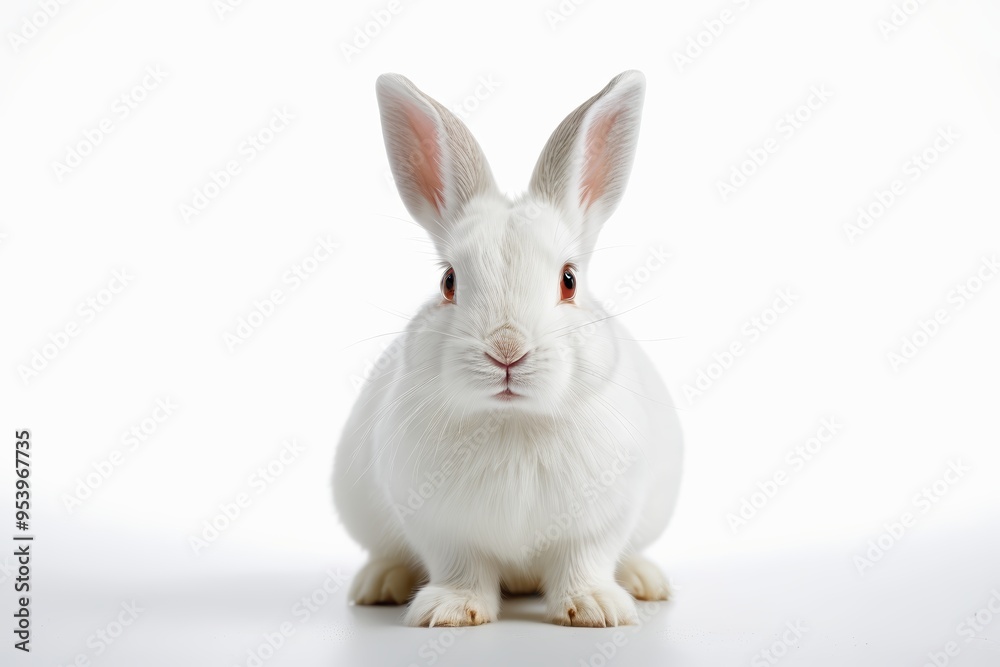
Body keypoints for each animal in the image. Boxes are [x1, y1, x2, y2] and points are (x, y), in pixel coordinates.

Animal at [333, 70, 683, 628]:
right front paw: (449, 611)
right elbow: (462, 569)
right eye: (449, 282)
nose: (506, 350)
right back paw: (381, 583)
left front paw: (596, 609)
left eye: (568, 280)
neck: (514, 421)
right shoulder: (442, 528)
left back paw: (643, 581)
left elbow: (585, 561)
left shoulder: (599, 522)